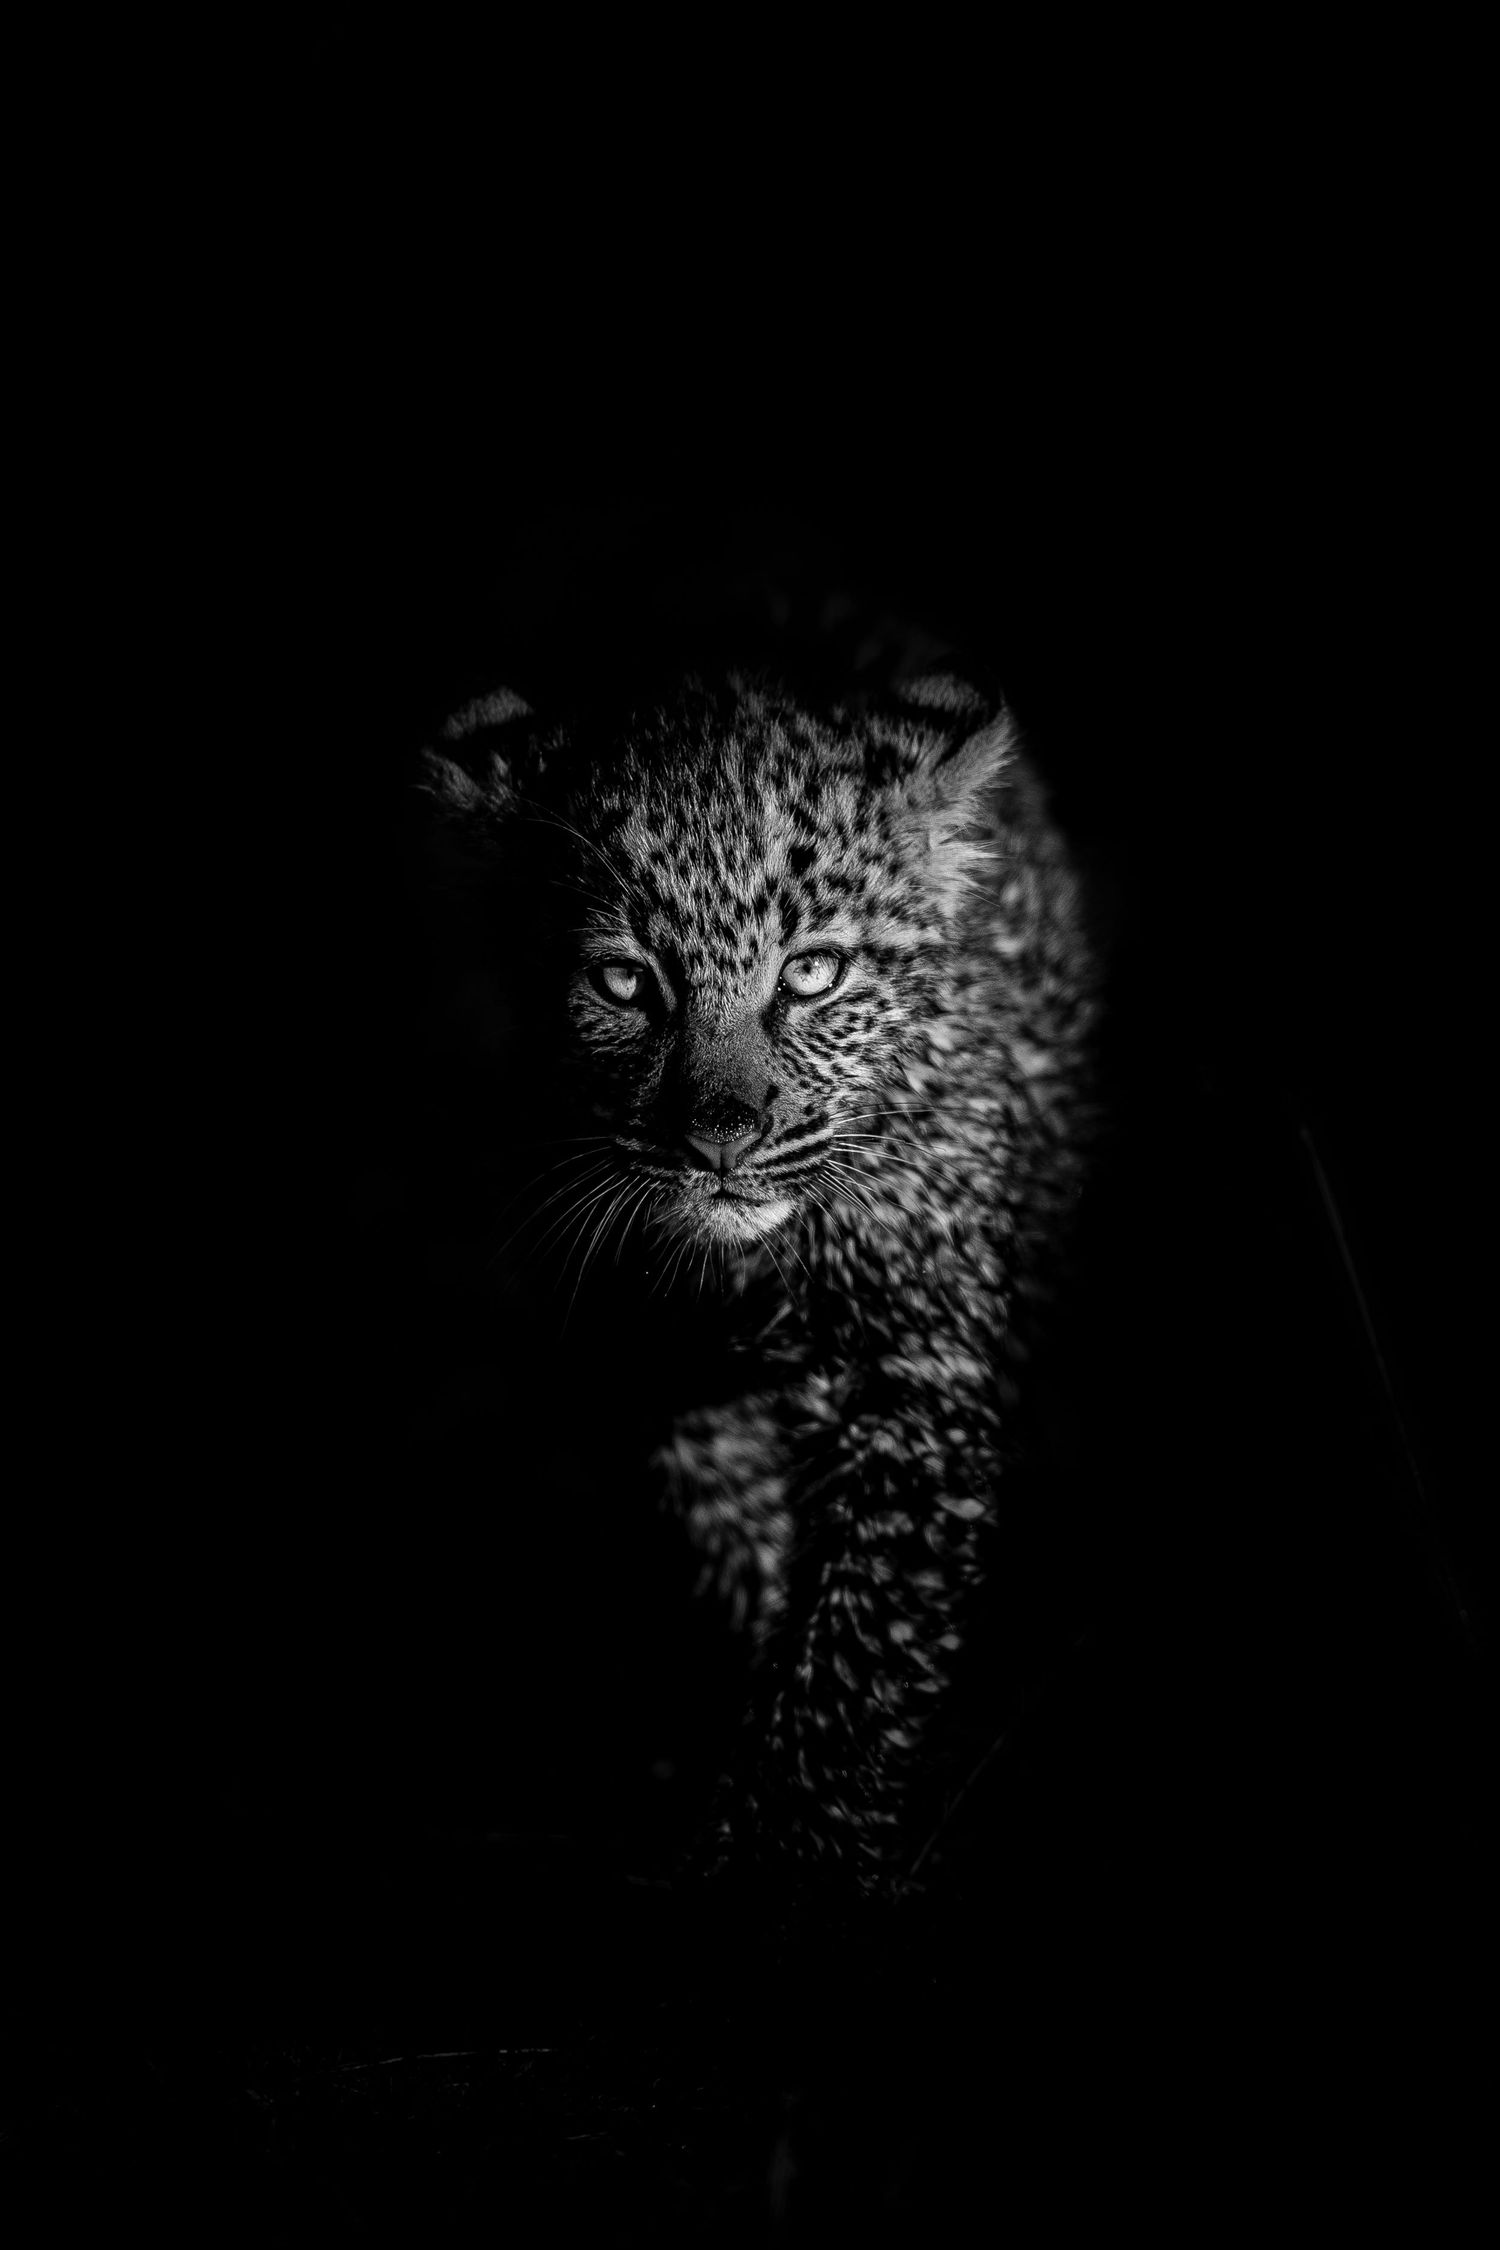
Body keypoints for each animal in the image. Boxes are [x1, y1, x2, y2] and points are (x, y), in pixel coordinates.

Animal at [419, 660, 1099, 1898]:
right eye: (624, 982)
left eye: (813, 973)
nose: (721, 1138)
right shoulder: (647, 1374)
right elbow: (739, 1549)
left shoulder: (910, 1377)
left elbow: (856, 1651)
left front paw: (787, 1852)